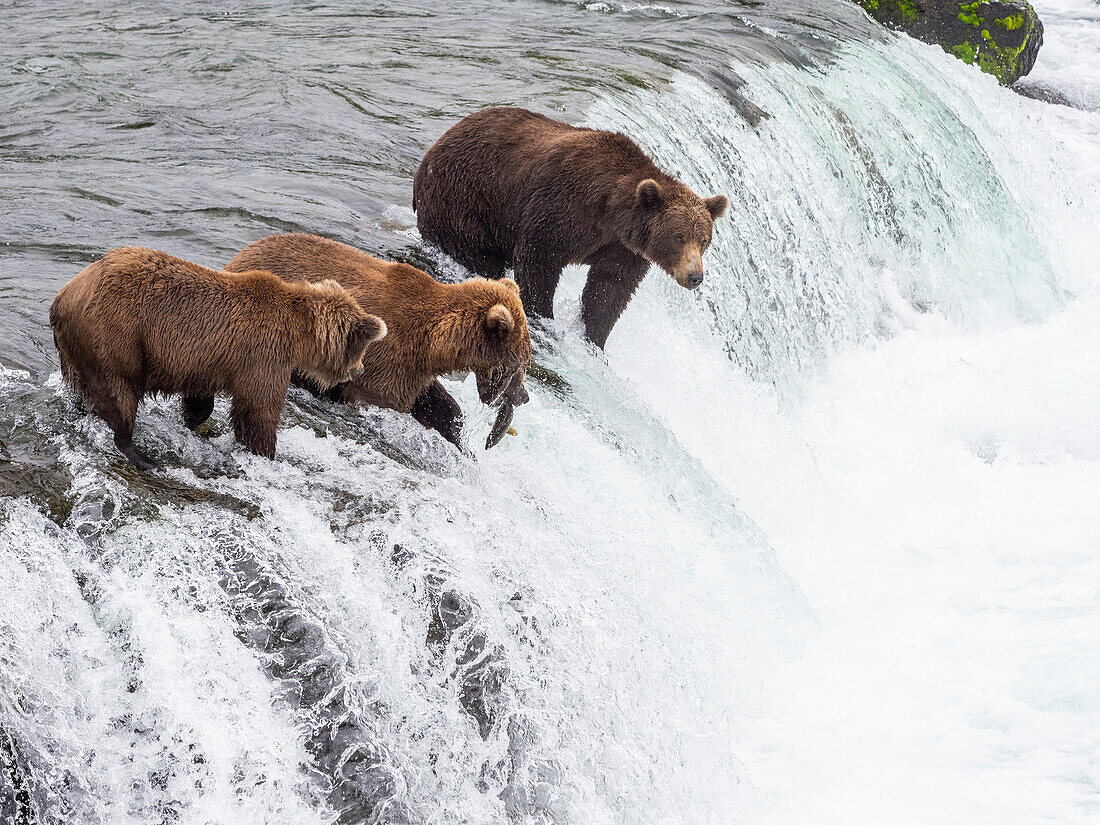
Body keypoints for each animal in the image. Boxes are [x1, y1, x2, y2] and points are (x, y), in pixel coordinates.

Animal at [50, 247, 387, 470]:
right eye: (362, 349)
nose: (358, 371)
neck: (297, 331)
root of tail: (65, 295)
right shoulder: (263, 353)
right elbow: (257, 408)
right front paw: (265, 452)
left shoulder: (207, 358)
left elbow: (201, 397)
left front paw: (191, 420)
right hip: (117, 335)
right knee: (120, 392)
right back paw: (140, 453)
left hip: (80, 347)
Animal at [224, 233, 532, 453]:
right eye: (519, 365)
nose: (525, 396)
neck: (434, 342)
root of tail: (240, 255)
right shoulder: (386, 356)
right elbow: (381, 397)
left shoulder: (414, 368)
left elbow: (436, 404)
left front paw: (459, 438)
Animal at [413, 105, 730, 349]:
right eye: (679, 237)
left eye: (704, 240)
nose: (695, 276)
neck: (610, 213)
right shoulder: (562, 208)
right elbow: (539, 261)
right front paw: (542, 316)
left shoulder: (623, 249)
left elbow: (609, 290)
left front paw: (595, 339)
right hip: (466, 203)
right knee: (477, 256)